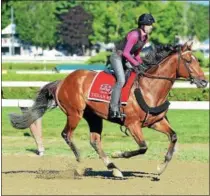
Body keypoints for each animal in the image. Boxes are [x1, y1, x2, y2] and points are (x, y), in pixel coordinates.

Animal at [9, 40, 208, 178]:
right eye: (188, 60)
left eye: (197, 60)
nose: (204, 81)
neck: (149, 88)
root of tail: (63, 81)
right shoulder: (132, 124)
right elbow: (143, 147)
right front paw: (119, 153)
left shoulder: (156, 121)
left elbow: (173, 137)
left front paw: (159, 169)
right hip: (74, 113)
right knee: (67, 134)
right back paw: (81, 164)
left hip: (94, 117)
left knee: (95, 141)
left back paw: (114, 169)